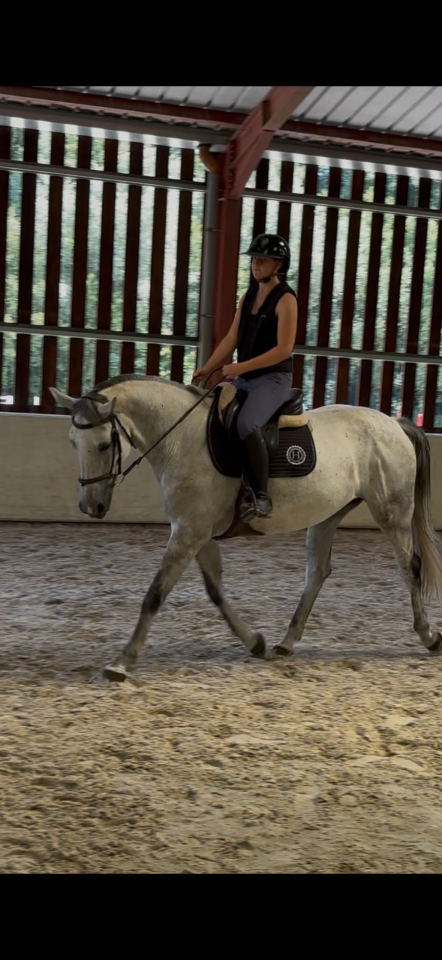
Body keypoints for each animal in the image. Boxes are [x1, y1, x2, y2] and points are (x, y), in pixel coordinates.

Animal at [50, 374, 442, 682]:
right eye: (71, 442)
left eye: (104, 444)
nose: (91, 507)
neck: (183, 439)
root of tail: (394, 423)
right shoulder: (198, 532)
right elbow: (215, 592)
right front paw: (255, 641)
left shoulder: (188, 532)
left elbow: (155, 595)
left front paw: (122, 661)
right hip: (327, 515)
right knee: (317, 572)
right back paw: (285, 643)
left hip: (392, 512)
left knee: (410, 568)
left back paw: (428, 636)